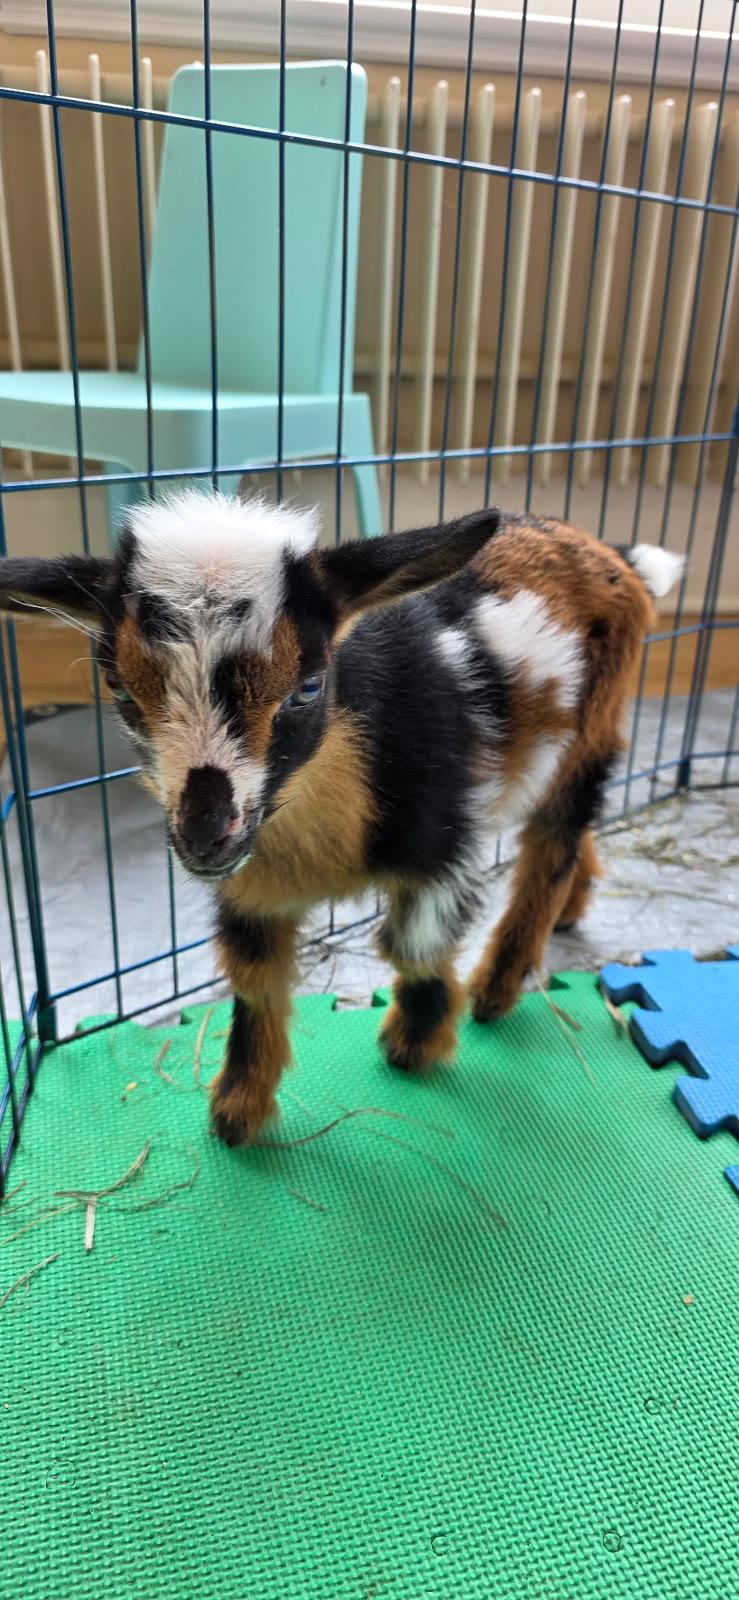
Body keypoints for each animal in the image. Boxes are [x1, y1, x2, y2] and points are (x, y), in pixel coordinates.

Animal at [0, 494, 682, 1145]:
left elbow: (415, 943)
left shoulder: (441, 844)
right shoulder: (250, 884)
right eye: (118, 688)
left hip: (594, 724)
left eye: (308, 686)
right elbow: (254, 976)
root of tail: (608, 552)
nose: (205, 835)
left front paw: (415, 1042)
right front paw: (238, 1111)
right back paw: (569, 911)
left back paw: (497, 986)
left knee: (553, 840)